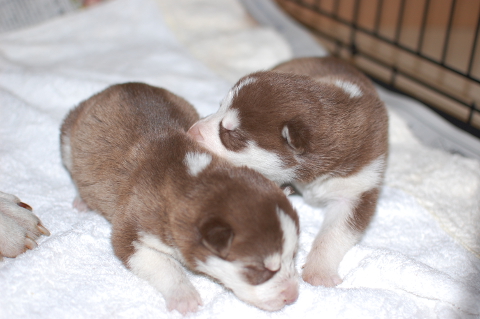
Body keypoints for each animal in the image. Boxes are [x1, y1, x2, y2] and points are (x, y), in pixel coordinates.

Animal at [60, 82, 300, 316]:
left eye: (293, 256)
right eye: (259, 269)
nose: (292, 297)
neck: (197, 177)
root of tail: (120, 85)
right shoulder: (132, 230)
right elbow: (164, 264)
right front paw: (184, 295)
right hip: (68, 134)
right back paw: (82, 200)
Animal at [188, 56, 390, 288]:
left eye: (232, 133)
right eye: (219, 107)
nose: (191, 130)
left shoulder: (358, 186)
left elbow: (335, 232)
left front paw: (319, 271)